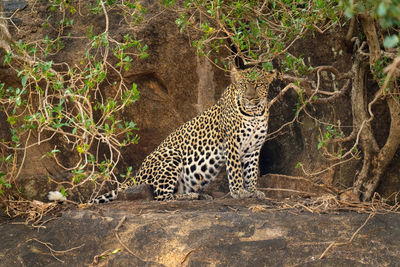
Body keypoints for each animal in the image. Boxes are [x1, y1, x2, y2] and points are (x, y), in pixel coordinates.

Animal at [91, 67, 278, 203]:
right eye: (243, 84)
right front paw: (239, 192)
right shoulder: (232, 143)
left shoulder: (253, 148)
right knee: (161, 196)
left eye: (259, 85)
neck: (254, 113)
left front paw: (253, 191)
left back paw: (201, 195)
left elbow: (251, 172)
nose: (250, 98)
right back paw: (190, 196)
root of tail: (136, 176)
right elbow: (236, 171)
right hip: (171, 156)